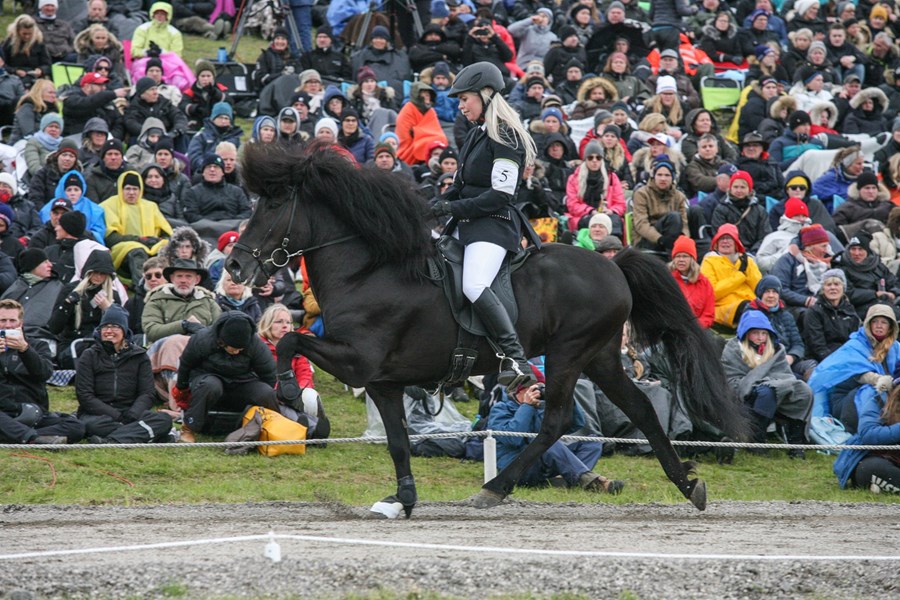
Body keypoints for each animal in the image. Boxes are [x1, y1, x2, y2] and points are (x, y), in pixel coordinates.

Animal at [230, 144, 744, 516]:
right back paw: (687, 483)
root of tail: (613, 265)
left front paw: (288, 391)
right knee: (639, 408)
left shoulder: (357, 360)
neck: (368, 270)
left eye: (273, 204)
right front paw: (403, 499)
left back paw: (494, 487)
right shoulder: (382, 381)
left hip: (569, 354)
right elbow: (397, 441)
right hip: (598, 356)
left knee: (556, 420)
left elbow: (291, 339)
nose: (235, 266)